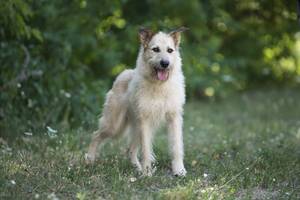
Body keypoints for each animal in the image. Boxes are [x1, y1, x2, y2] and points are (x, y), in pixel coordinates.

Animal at [85, 27, 188, 177]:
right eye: (155, 49)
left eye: (170, 50)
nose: (165, 63)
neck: (159, 86)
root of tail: (123, 73)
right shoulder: (145, 120)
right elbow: (146, 150)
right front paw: (147, 173)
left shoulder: (174, 118)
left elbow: (176, 146)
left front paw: (179, 170)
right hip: (115, 126)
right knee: (96, 135)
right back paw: (89, 159)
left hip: (135, 126)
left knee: (130, 150)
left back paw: (137, 168)